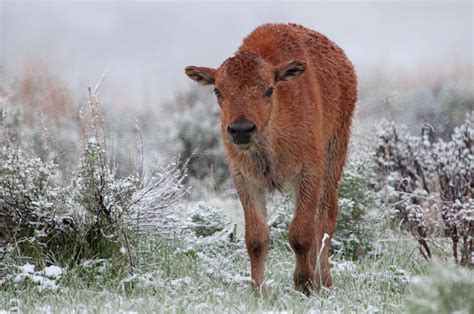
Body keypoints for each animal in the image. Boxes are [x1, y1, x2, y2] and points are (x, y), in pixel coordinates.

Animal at [184, 22, 356, 294]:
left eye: (269, 90)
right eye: (218, 91)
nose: (241, 129)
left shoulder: (309, 172)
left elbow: (301, 233)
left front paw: (304, 284)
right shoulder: (244, 178)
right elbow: (256, 238)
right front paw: (258, 291)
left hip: (335, 154)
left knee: (326, 218)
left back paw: (324, 282)